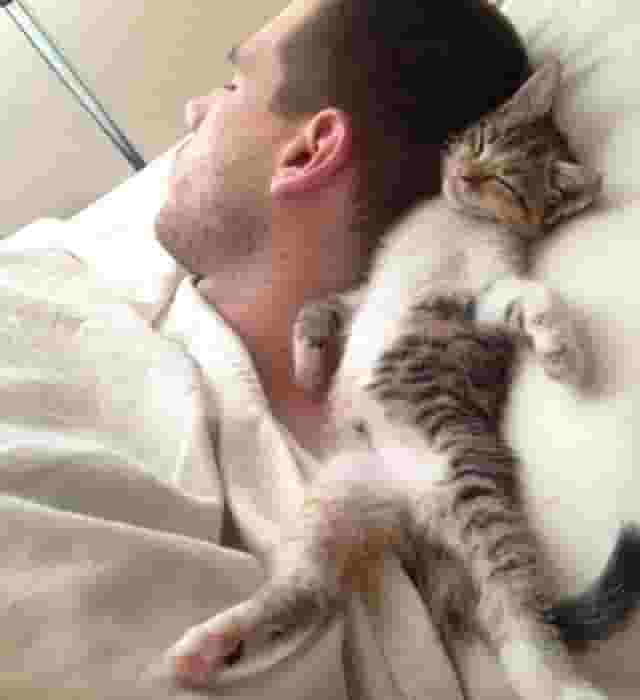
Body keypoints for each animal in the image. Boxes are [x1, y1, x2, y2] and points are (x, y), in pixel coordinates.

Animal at [166, 60, 640, 699]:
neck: (452, 220)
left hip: (471, 490)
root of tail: (411, 508)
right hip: (338, 496)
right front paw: (309, 361)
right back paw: (213, 645)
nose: (465, 175)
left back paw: (562, 684)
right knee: (310, 588)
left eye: (509, 184)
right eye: (481, 142)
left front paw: (562, 351)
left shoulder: (480, 296)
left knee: (511, 612)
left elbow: (532, 294)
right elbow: (317, 307)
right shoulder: (365, 292)